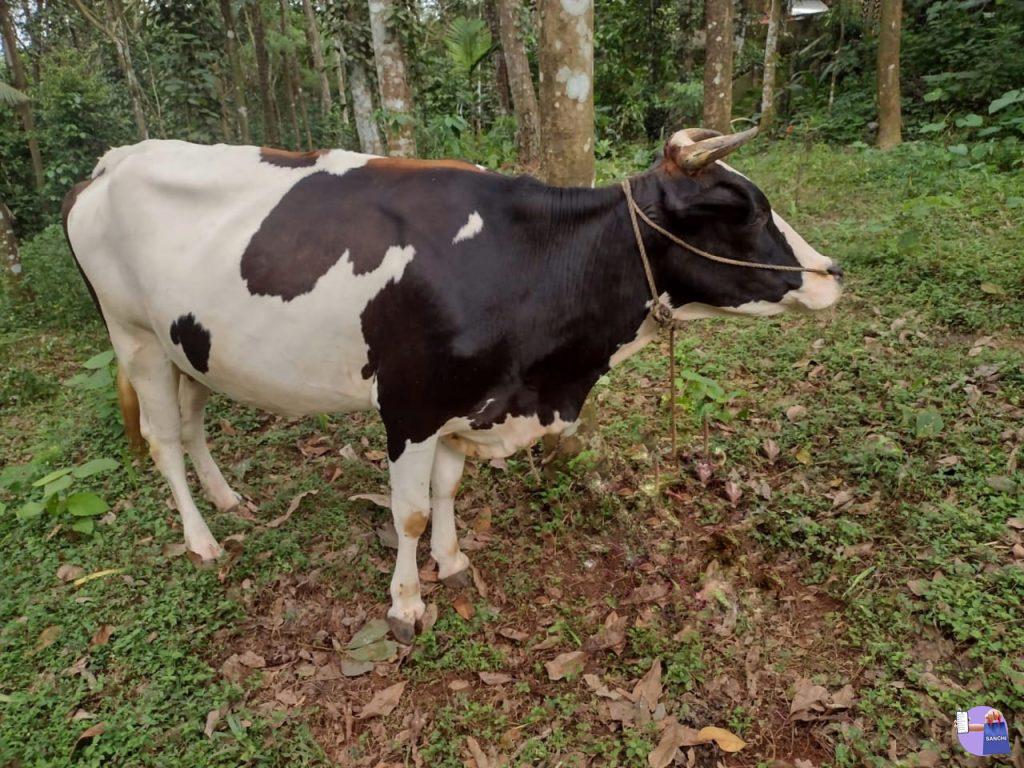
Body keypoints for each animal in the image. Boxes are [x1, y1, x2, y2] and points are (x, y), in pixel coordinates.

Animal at [62, 128, 842, 642]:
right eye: (742, 210)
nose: (833, 272)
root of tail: (114, 161)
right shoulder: (411, 405)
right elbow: (407, 511)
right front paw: (406, 603)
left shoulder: (466, 404)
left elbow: (445, 491)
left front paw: (453, 558)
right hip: (134, 338)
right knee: (164, 441)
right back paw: (202, 540)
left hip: (190, 345)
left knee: (194, 425)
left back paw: (230, 501)